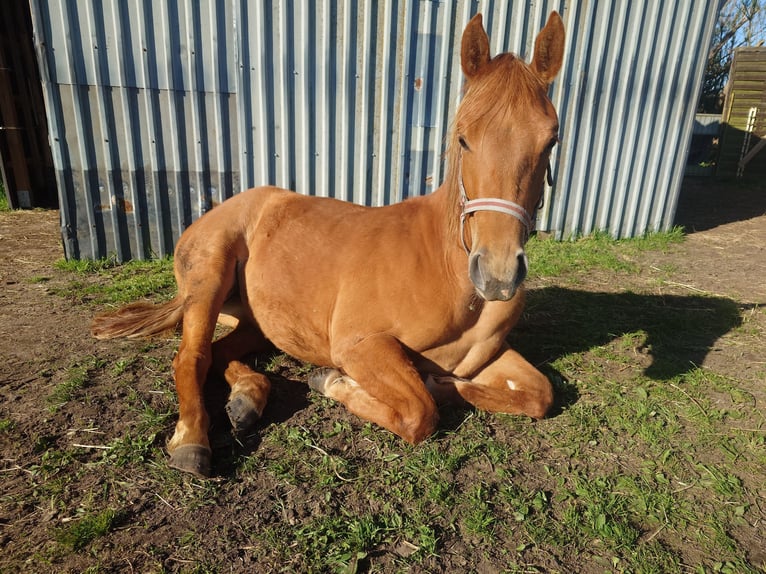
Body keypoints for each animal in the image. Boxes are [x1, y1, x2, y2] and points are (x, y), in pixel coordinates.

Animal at [92, 12, 565, 478]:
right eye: (464, 138)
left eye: (551, 140)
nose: (498, 275)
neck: (449, 274)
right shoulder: (359, 345)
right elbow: (420, 411)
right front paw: (335, 381)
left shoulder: (488, 355)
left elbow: (539, 394)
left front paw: (445, 383)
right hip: (208, 281)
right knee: (192, 357)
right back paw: (193, 443)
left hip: (256, 321)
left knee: (218, 353)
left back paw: (247, 398)